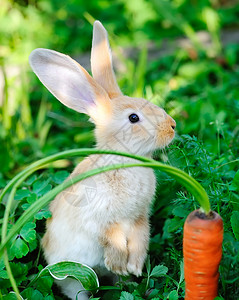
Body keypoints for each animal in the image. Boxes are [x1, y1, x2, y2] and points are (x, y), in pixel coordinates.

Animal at [29, 20, 176, 300]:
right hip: (73, 275)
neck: (123, 161)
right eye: (133, 118)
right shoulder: (101, 219)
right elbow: (113, 238)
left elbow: (141, 237)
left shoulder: (140, 216)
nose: (172, 126)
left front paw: (135, 267)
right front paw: (119, 263)